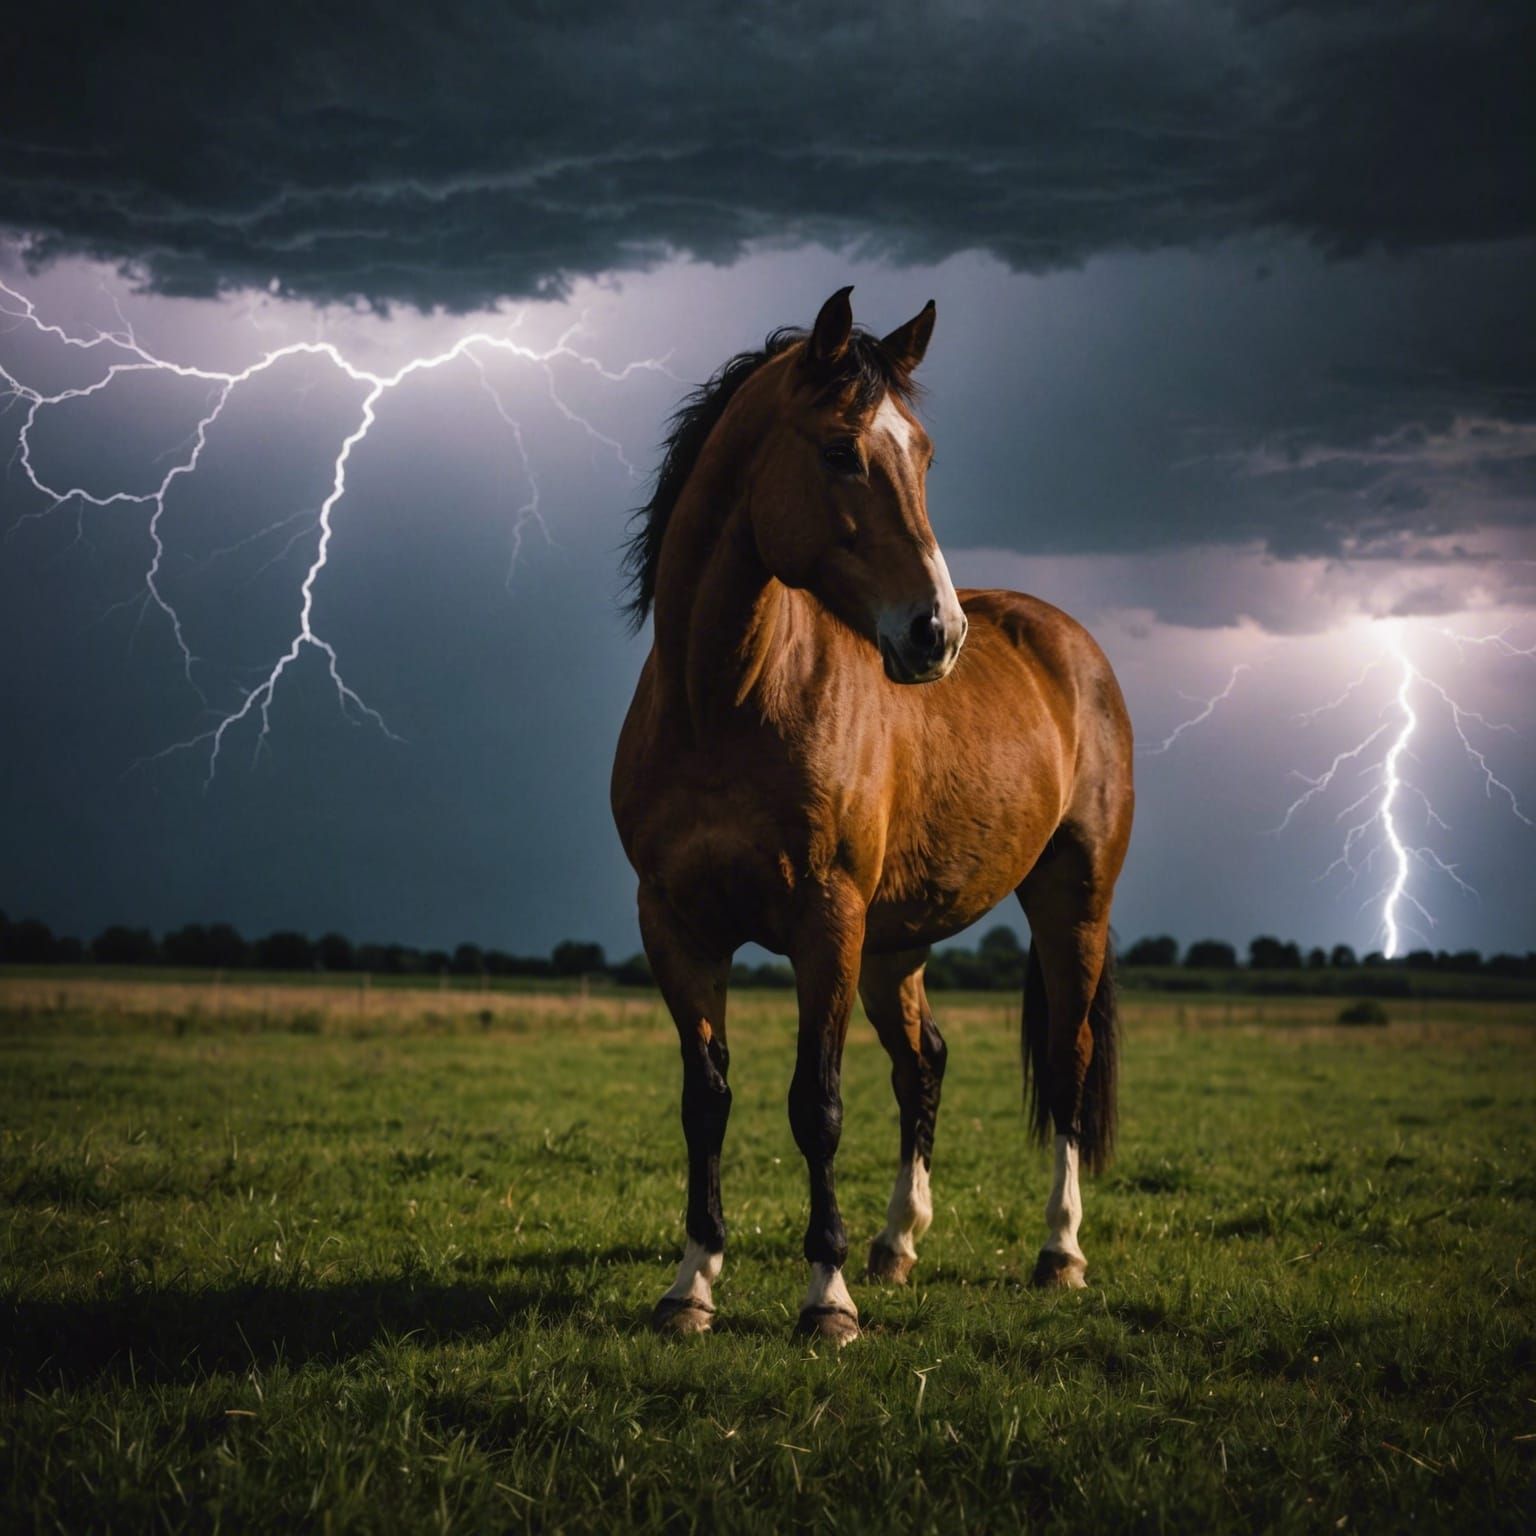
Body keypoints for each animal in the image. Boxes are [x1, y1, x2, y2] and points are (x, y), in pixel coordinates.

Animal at [611, 288, 1134, 1343]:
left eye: (924, 454)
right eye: (839, 451)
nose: (937, 633)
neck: (726, 704)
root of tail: (1068, 644)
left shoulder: (828, 922)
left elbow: (816, 1105)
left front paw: (827, 1298)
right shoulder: (676, 927)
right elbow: (705, 1100)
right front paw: (692, 1285)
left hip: (1071, 904)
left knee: (1066, 1060)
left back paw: (1058, 1252)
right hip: (899, 943)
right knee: (923, 1063)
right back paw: (898, 1244)